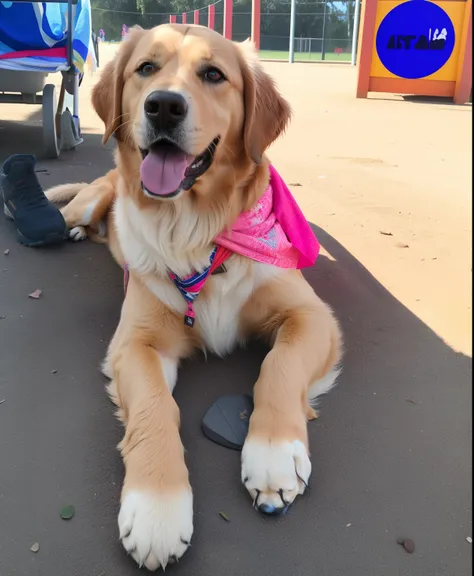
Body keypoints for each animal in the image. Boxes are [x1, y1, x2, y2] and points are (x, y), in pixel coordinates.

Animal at [46, 23, 342, 572]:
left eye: (213, 74)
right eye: (146, 68)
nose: (163, 106)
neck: (196, 233)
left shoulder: (312, 315)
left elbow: (280, 366)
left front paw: (273, 455)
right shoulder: (135, 343)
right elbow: (155, 407)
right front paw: (156, 511)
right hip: (95, 198)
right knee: (74, 215)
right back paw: (73, 229)